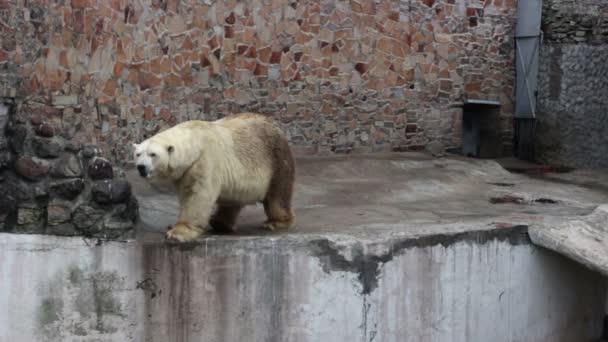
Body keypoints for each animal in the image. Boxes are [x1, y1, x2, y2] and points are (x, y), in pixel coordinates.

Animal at [134, 113, 296, 242]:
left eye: (153, 154)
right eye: (138, 154)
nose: (141, 167)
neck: (195, 140)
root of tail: (275, 125)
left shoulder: (205, 160)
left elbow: (197, 195)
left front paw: (177, 233)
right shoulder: (186, 170)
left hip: (276, 159)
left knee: (278, 194)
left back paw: (275, 222)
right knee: (233, 200)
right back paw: (219, 223)